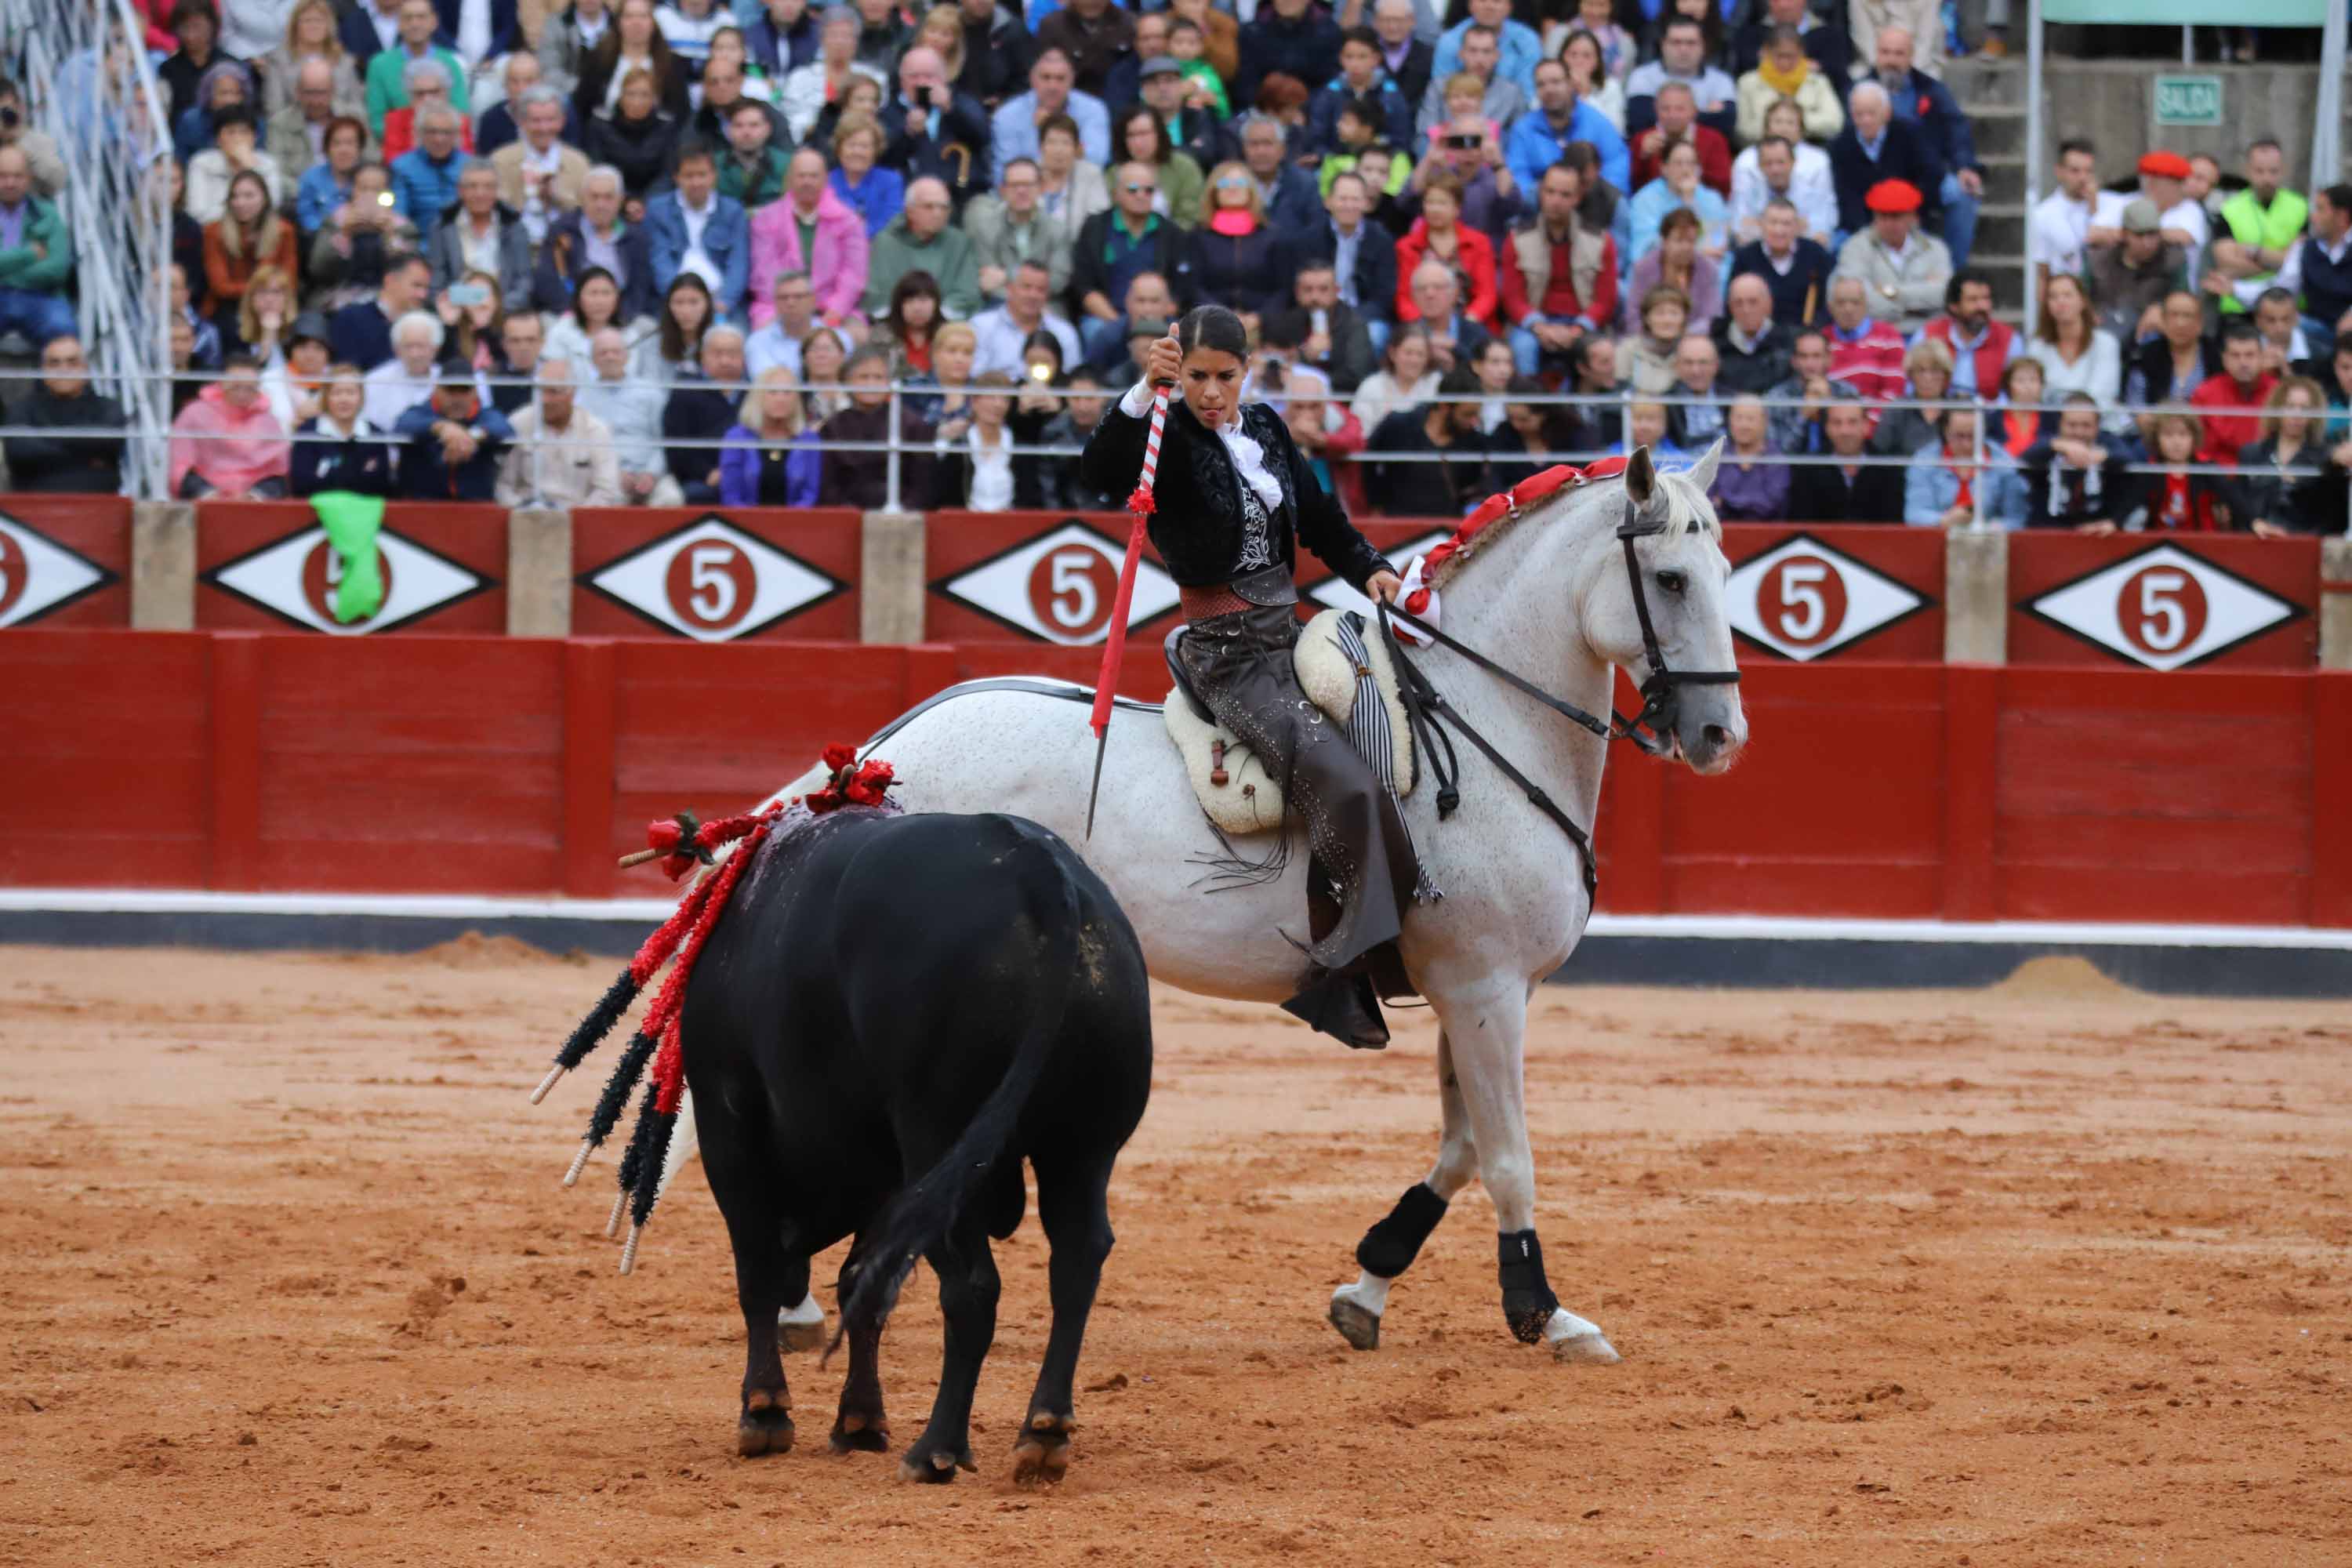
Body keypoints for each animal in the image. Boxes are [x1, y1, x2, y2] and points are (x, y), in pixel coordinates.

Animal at [673, 441, 1740, 1363]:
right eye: (1672, 579)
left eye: (1726, 570)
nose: (1721, 733)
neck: (1484, 728)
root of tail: (879, 756)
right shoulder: (1484, 986)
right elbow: (1509, 1154)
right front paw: (1544, 1311)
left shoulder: (1474, 987)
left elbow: (1465, 1144)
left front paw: (1368, 1285)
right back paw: (800, 1300)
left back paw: (800, 1300)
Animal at [677, 808, 1152, 1486]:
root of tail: (1042, 870)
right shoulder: (889, 1174)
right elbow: (863, 1281)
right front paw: (859, 1421)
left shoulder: (728, 1124)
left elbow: (761, 1270)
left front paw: (765, 1413)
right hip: (1083, 1146)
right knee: (1077, 1260)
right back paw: (1044, 1431)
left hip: (940, 1137)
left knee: (972, 1286)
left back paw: (936, 1449)